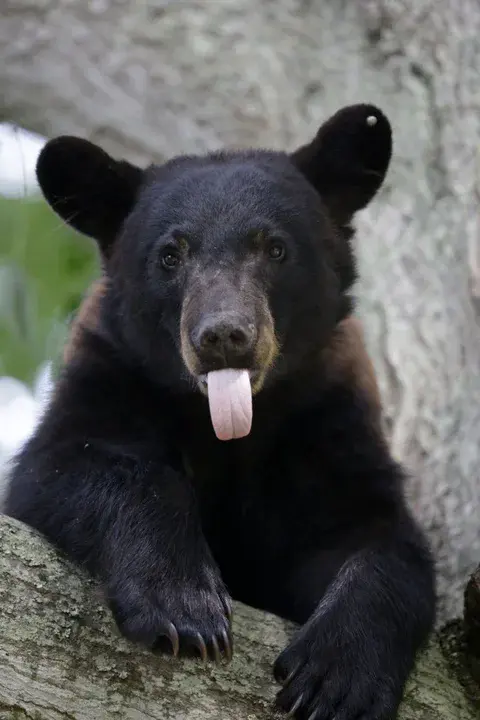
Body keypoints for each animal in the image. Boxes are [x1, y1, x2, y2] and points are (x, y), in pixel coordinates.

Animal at [5, 102, 436, 720]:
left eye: (275, 248)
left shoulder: (328, 422)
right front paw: (184, 608)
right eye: (170, 255)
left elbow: (379, 539)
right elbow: (65, 467)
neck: (229, 426)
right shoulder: (110, 376)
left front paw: (336, 680)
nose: (224, 336)